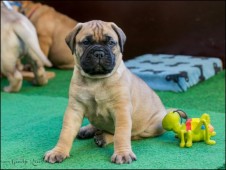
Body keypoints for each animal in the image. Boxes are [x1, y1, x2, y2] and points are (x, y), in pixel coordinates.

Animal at [44, 20, 168, 165]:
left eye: (111, 42)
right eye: (86, 42)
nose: (99, 53)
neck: (96, 81)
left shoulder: (121, 110)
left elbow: (121, 133)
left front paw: (123, 153)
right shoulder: (75, 108)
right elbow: (66, 132)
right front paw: (58, 151)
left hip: (153, 126)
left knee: (131, 135)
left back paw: (103, 137)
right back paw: (87, 130)